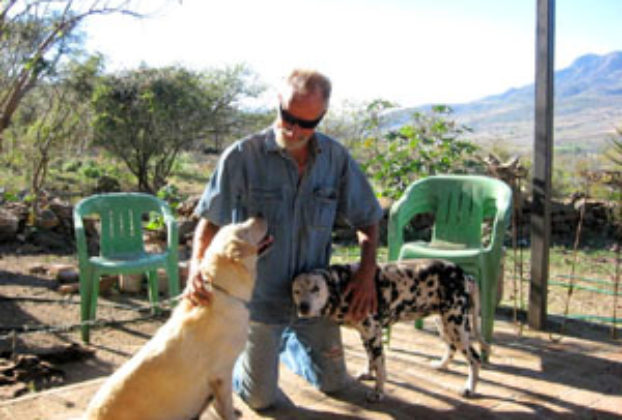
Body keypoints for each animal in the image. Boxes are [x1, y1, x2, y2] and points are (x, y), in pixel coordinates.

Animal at [292, 258, 492, 402]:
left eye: (316, 289)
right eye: (296, 291)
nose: (303, 307)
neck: (345, 285)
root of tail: (465, 276)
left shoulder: (373, 335)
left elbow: (380, 367)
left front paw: (378, 392)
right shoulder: (366, 335)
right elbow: (371, 359)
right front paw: (368, 373)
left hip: (456, 326)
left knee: (475, 359)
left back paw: (469, 388)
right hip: (445, 325)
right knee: (451, 348)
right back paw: (441, 365)